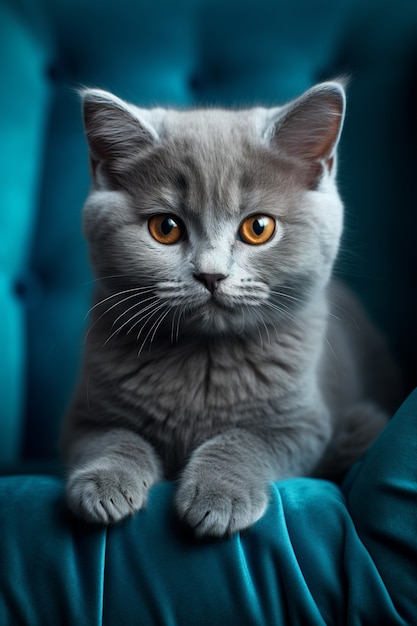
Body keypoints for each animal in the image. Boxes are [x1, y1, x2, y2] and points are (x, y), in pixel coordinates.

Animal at [60, 80, 398, 532]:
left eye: (259, 228)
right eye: (165, 228)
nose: (211, 274)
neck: (201, 358)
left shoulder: (302, 426)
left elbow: (246, 439)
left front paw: (218, 494)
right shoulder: (84, 417)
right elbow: (112, 437)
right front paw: (105, 485)